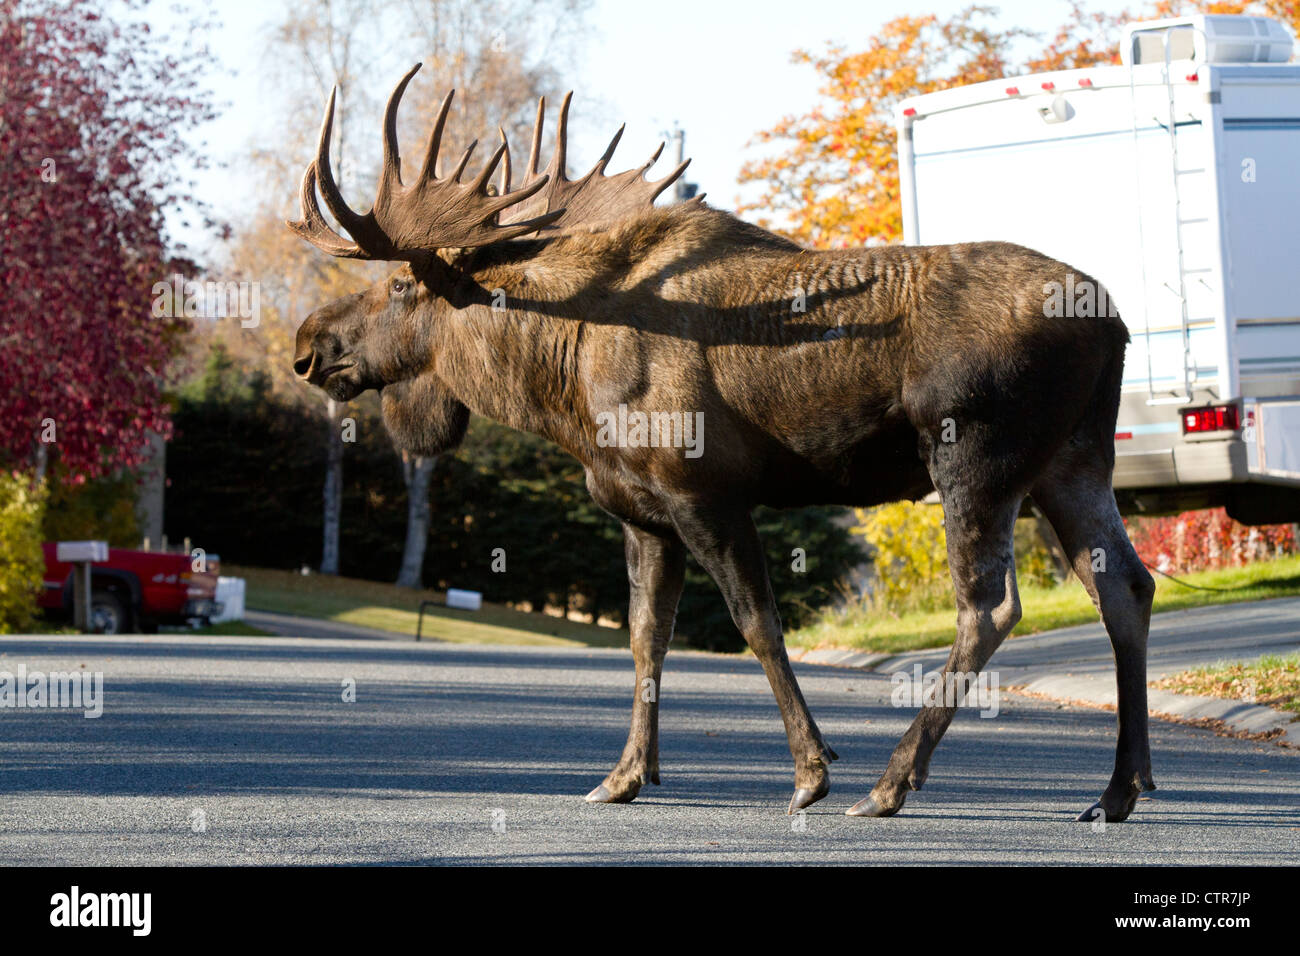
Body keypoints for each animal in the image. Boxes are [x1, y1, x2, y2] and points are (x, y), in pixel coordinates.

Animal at [289, 69, 1154, 822]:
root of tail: (1113, 318)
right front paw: (624, 776)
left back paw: (891, 783)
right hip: (1072, 462)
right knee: (1126, 586)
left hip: (976, 459)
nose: (307, 346)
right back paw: (1119, 790)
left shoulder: (703, 491)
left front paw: (811, 772)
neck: (559, 381)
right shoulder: (642, 513)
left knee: (990, 605)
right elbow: (646, 638)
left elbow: (756, 622)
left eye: (400, 284)